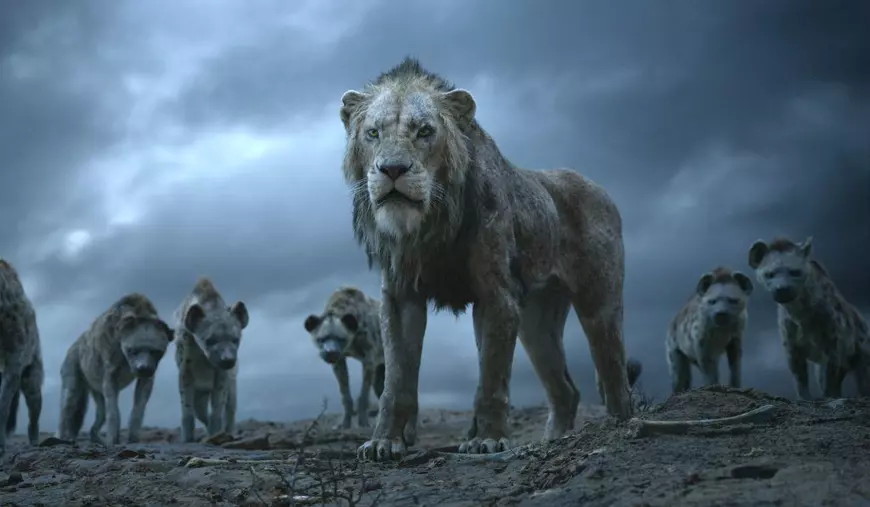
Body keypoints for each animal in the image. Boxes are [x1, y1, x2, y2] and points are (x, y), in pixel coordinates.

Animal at [339, 57, 638, 461]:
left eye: (424, 131)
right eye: (372, 133)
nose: (393, 170)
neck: (430, 224)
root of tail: (599, 188)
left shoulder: (496, 294)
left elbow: (492, 375)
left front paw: (488, 440)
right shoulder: (400, 297)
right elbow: (396, 379)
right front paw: (385, 441)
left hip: (599, 304)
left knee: (613, 371)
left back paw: (619, 427)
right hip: (536, 324)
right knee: (566, 390)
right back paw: (552, 441)